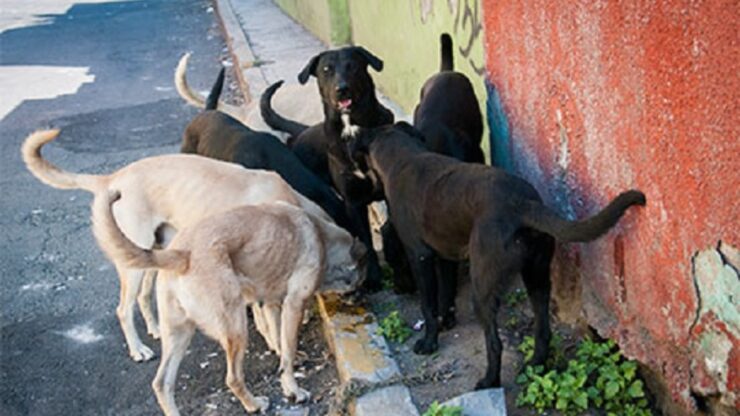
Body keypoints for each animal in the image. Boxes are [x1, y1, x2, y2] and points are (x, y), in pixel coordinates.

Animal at [19, 129, 338, 360]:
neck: (289, 204)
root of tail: (112, 179)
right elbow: (267, 319)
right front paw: (279, 347)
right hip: (133, 265)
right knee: (123, 309)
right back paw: (138, 349)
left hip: (153, 254)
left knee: (142, 297)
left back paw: (155, 329)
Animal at [94, 193, 366, 416]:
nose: (360, 298)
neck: (321, 235)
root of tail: (181, 253)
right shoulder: (293, 306)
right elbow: (287, 351)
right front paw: (292, 388)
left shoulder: (270, 305)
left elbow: (278, 340)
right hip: (235, 329)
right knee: (233, 378)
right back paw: (254, 404)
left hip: (179, 334)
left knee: (162, 383)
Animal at [350, 122, 644, 388]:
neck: (402, 158)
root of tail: (522, 204)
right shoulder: (444, 256)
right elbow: (446, 294)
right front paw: (446, 321)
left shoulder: (420, 256)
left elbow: (428, 305)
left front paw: (429, 341)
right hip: (537, 278)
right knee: (543, 331)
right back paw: (535, 365)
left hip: (483, 288)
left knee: (495, 343)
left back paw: (489, 380)